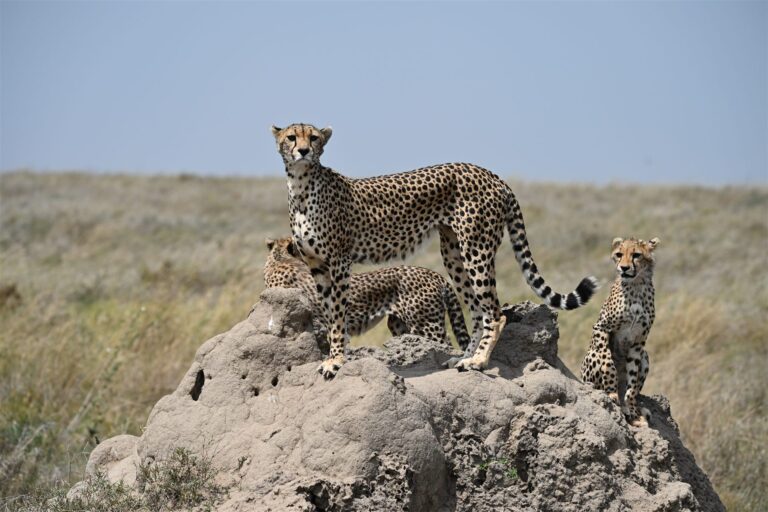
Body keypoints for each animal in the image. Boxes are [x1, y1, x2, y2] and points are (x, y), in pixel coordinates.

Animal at [581, 237, 660, 427]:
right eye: (619, 254)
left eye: (636, 255)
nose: (623, 268)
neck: (636, 285)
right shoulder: (601, 327)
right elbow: (607, 359)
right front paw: (611, 391)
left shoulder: (638, 343)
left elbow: (632, 383)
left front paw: (631, 408)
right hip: (591, 357)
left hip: (645, 355)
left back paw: (634, 410)